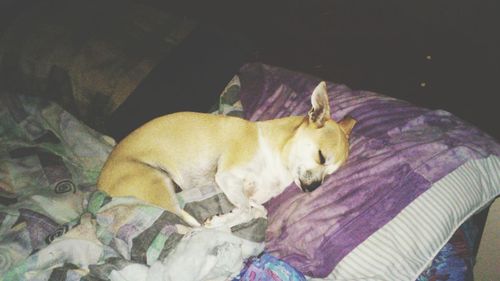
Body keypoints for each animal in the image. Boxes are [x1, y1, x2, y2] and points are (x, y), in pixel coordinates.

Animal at [96, 81, 356, 228]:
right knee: (182, 214)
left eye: (330, 173)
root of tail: (99, 183)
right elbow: (246, 210)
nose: (313, 189)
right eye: (321, 157)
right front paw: (222, 220)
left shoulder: (246, 192)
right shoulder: (227, 176)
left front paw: (241, 213)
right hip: (156, 180)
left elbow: (257, 209)